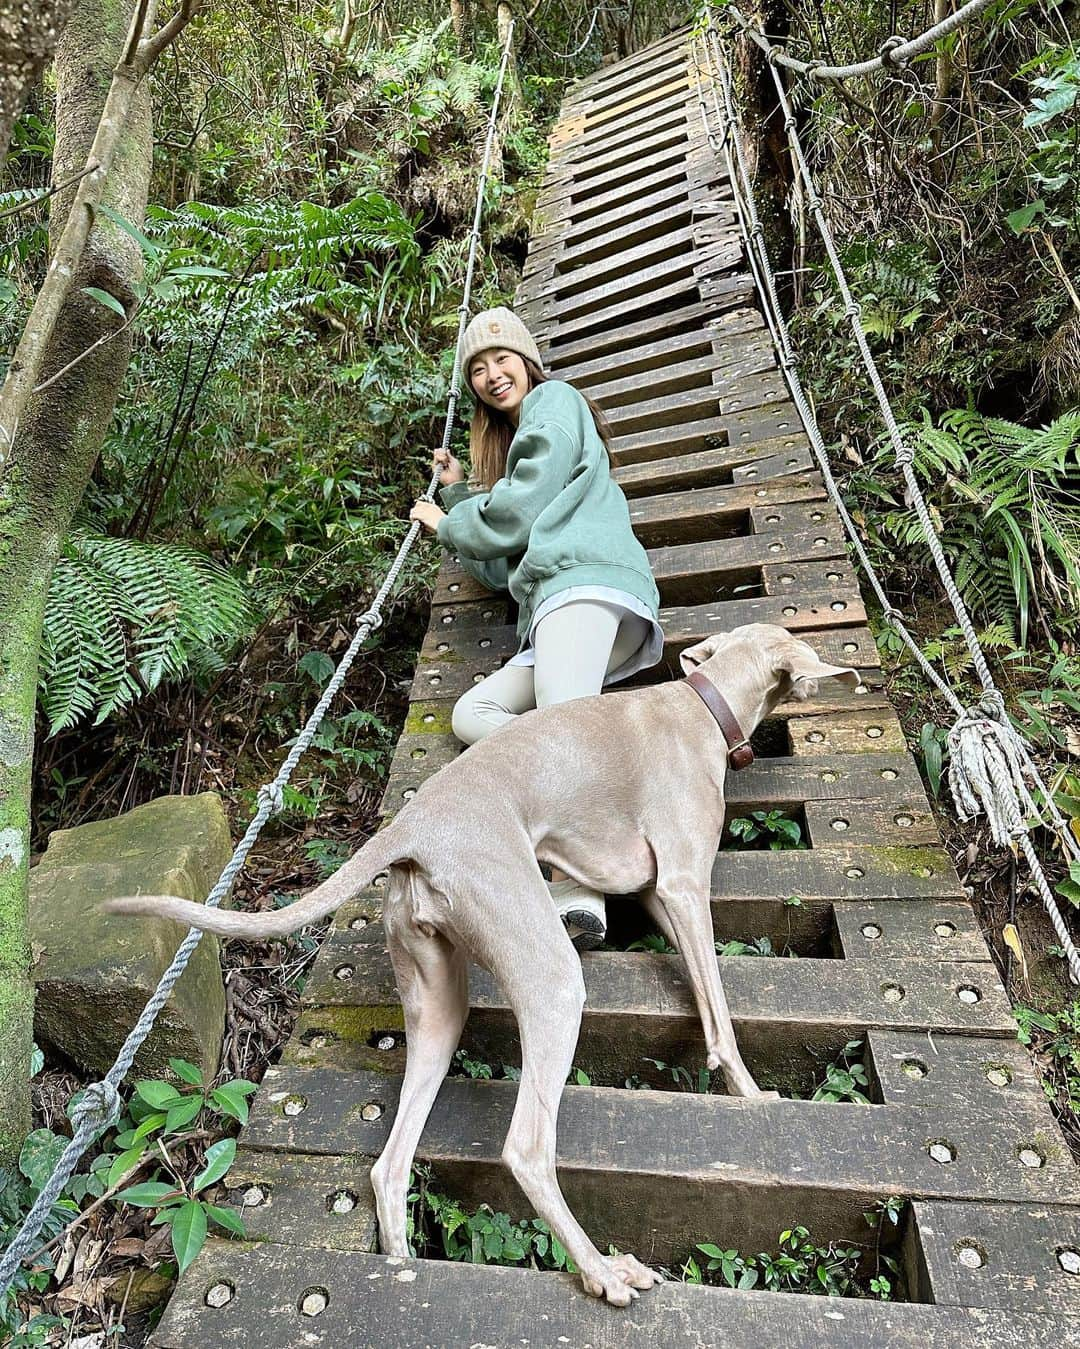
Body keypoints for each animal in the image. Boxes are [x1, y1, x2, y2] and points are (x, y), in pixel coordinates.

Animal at [105, 623, 857, 1305]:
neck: (703, 699)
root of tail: (412, 830)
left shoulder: (656, 891)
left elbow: (702, 993)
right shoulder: (682, 883)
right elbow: (722, 1008)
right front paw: (750, 1091)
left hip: (438, 1007)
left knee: (389, 1166)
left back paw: (403, 1265)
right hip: (552, 981)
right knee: (525, 1148)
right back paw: (604, 1271)